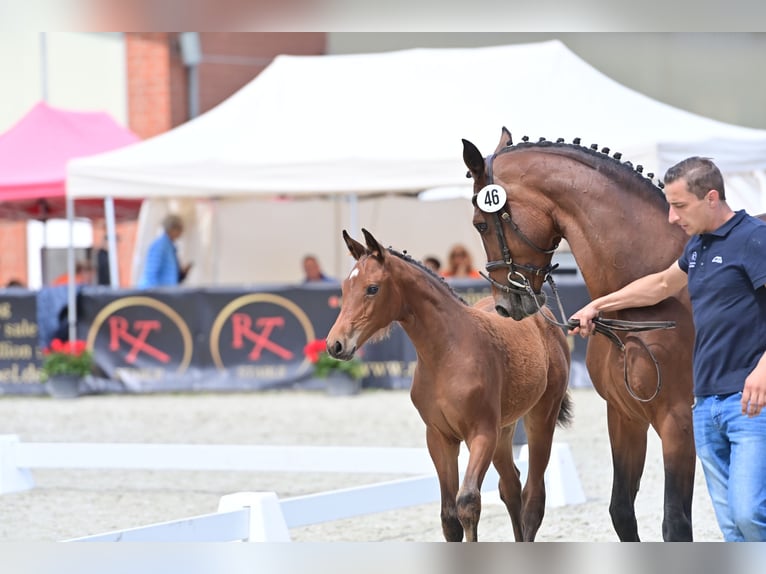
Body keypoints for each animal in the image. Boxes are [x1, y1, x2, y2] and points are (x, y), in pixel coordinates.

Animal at [328, 230, 572, 544]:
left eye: (372, 288)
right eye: (345, 287)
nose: (335, 344)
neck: (448, 354)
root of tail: (543, 315)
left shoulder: (481, 433)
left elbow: (467, 502)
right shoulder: (439, 437)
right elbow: (449, 517)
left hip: (541, 417)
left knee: (533, 497)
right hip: (504, 430)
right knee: (511, 486)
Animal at [464, 128, 700, 544]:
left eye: (481, 223)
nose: (506, 306)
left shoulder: (677, 420)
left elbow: (676, 523)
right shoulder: (625, 415)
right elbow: (621, 511)